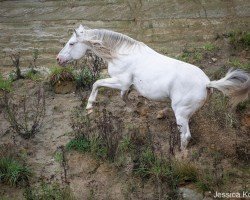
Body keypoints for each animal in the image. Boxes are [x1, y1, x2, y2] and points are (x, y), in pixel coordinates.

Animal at [57, 24, 250, 150]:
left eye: (72, 43)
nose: (58, 59)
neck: (120, 54)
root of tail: (206, 83)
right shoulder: (126, 86)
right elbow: (123, 97)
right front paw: (136, 110)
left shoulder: (121, 81)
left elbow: (96, 83)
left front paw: (89, 107)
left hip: (180, 112)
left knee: (185, 136)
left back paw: (180, 156)